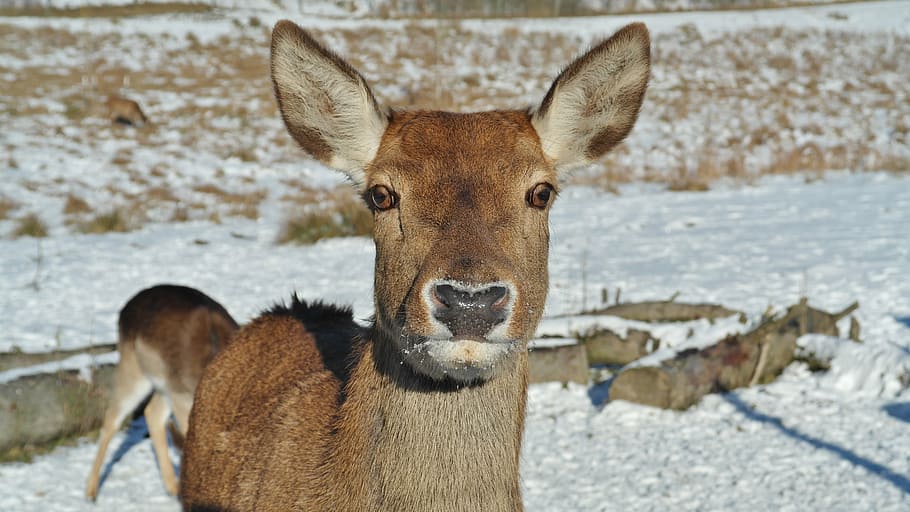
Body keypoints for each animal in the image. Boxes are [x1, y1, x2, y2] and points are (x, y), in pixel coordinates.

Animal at [85, 284, 239, 501]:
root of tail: (126, 307)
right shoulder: (182, 399)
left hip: (164, 385)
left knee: (152, 413)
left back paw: (172, 487)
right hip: (135, 370)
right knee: (112, 419)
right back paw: (90, 493)